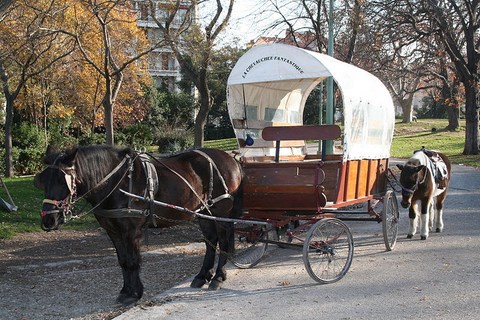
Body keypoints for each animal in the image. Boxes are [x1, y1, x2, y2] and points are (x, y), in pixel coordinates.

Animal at [34, 145, 244, 304]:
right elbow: (123, 261)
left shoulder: (131, 231)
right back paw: (202, 275)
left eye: (62, 180)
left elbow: (133, 261)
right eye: (43, 180)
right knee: (210, 240)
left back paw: (218, 276)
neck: (116, 183)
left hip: (220, 211)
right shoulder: (113, 231)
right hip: (203, 212)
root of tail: (231, 159)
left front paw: (134, 294)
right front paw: (126, 291)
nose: (48, 220)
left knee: (223, 241)